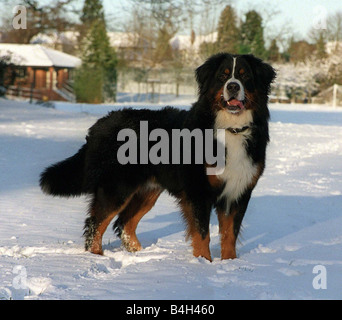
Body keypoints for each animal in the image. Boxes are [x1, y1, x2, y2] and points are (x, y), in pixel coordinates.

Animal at [39, 52, 276, 262]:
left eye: (245, 76)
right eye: (223, 76)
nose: (233, 86)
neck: (230, 129)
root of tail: (102, 122)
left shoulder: (239, 190)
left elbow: (229, 235)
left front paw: (230, 265)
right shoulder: (198, 190)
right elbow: (202, 233)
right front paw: (203, 264)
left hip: (147, 190)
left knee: (124, 224)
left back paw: (140, 255)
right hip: (118, 187)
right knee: (95, 224)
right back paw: (96, 258)